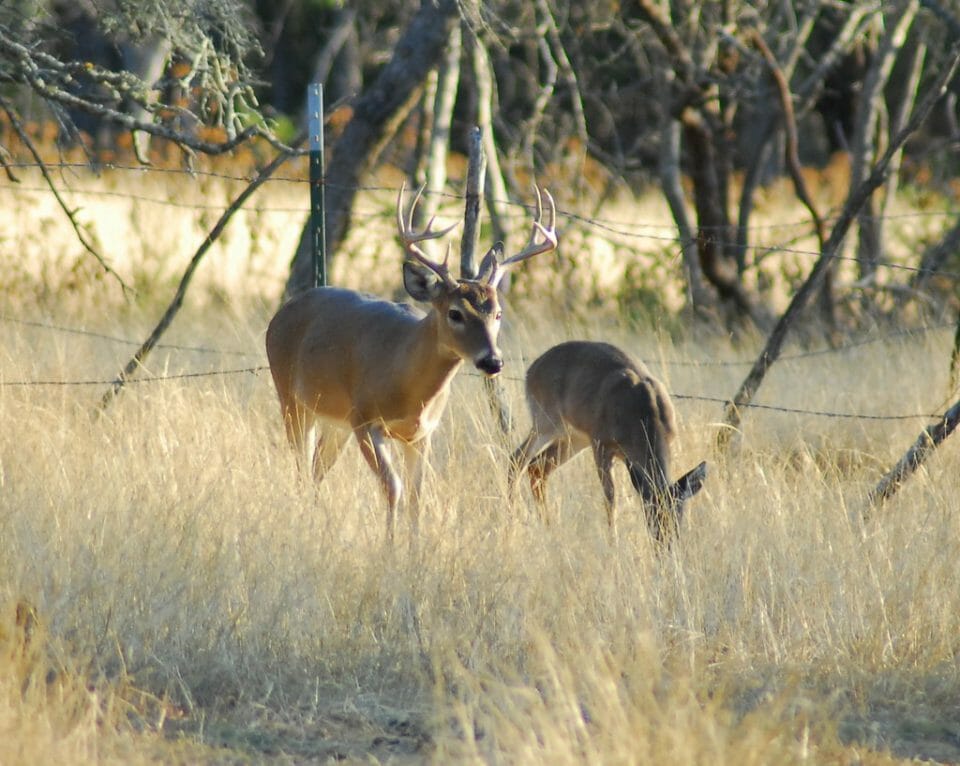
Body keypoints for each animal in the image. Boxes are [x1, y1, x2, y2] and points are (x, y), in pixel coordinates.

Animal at [266, 183, 560, 544]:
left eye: (498, 313)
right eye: (455, 313)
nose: (492, 361)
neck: (407, 383)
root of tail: (281, 312)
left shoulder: (421, 433)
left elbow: (417, 496)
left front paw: (414, 547)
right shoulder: (366, 420)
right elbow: (393, 487)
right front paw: (390, 547)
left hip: (336, 421)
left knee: (316, 469)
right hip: (291, 399)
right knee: (300, 466)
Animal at [510, 342, 704, 544]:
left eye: (679, 514)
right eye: (651, 512)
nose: (665, 543)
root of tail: (531, 370)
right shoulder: (601, 444)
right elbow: (610, 497)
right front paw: (614, 542)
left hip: (575, 437)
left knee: (538, 467)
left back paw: (547, 527)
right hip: (547, 422)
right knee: (517, 459)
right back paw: (513, 524)